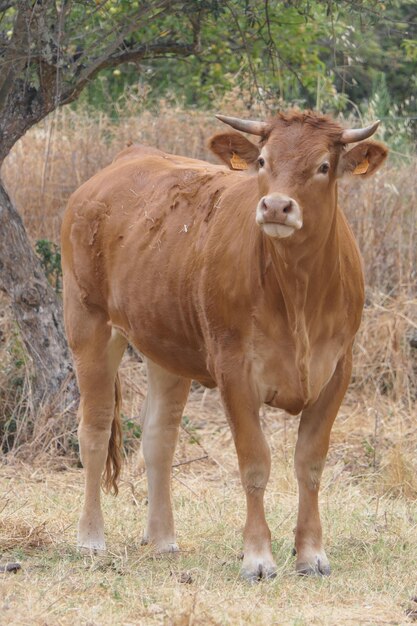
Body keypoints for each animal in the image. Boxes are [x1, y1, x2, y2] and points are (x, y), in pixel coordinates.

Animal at [61, 108, 386, 580]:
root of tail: (123, 161)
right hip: (87, 323)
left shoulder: (337, 371)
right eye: (263, 161)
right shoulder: (234, 371)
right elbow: (255, 463)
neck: (298, 295)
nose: (276, 206)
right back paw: (90, 538)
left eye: (324, 166)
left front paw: (311, 554)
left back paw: (163, 540)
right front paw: (258, 557)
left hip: (166, 346)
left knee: (159, 437)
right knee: (95, 429)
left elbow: (309, 463)